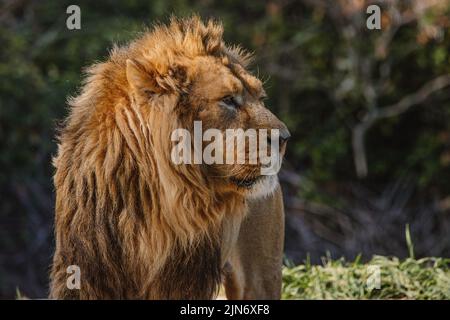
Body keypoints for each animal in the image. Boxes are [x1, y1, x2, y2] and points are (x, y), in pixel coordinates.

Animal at [49, 15, 288, 300]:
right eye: (228, 100)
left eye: (260, 98)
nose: (285, 137)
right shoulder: (84, 272)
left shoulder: (183, 283)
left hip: (260, 275)